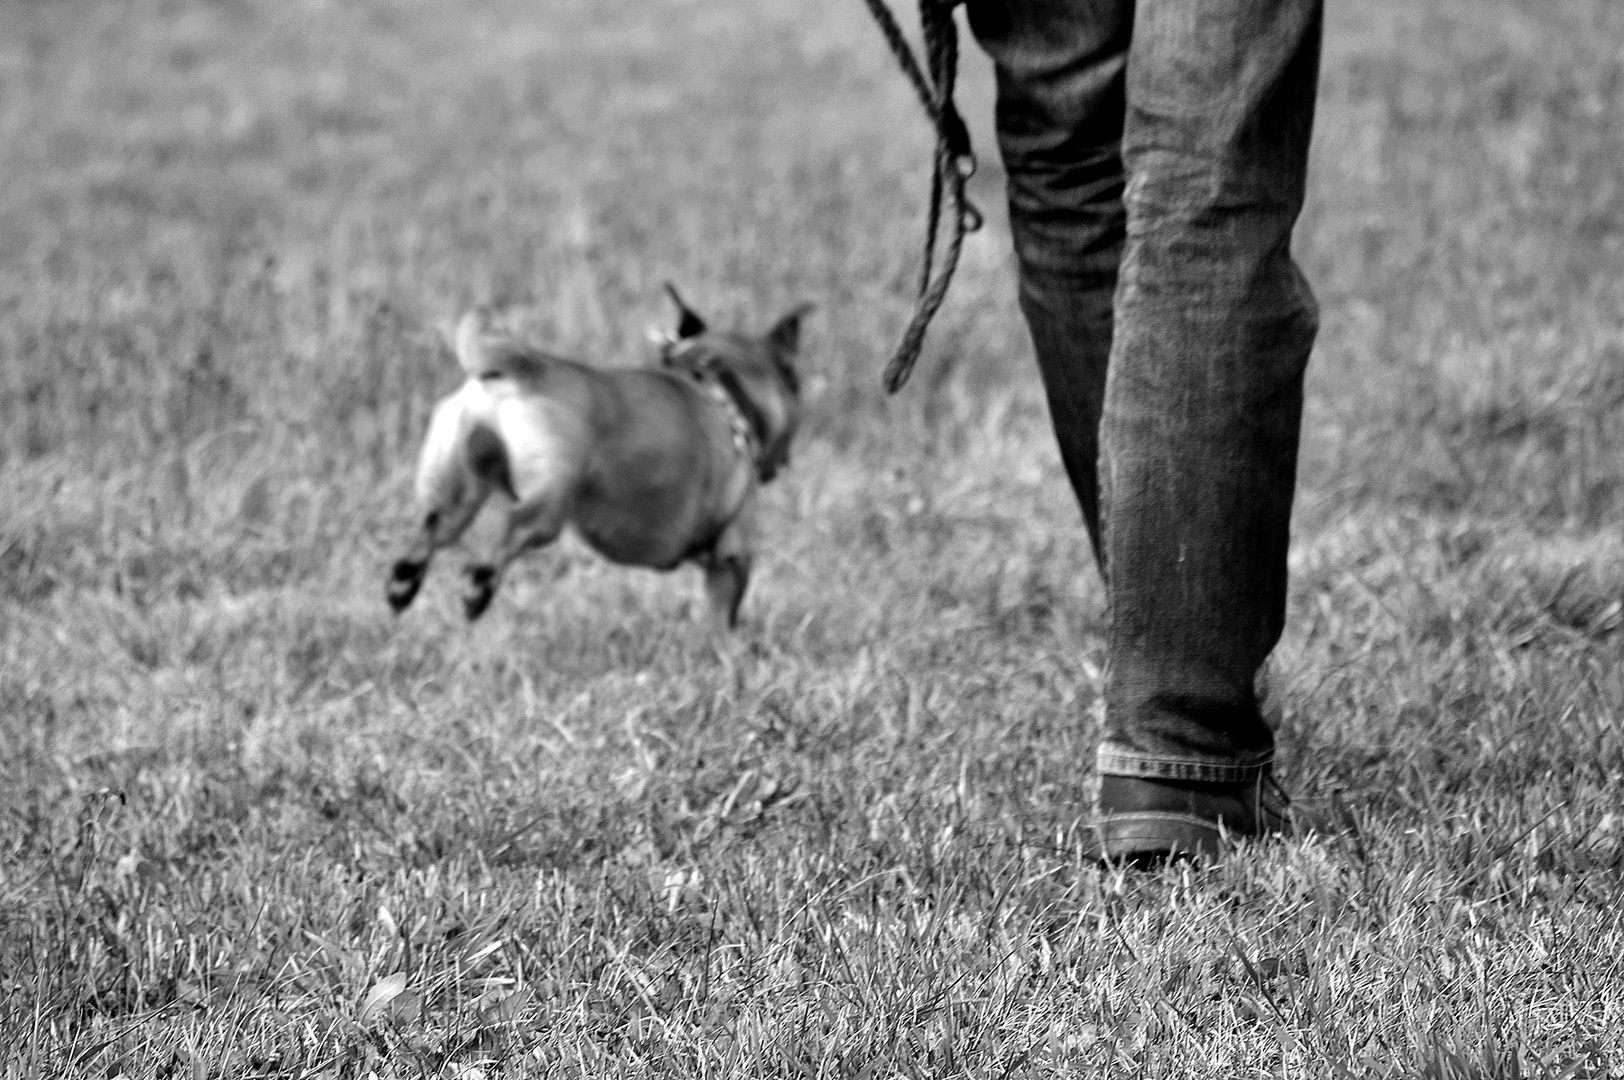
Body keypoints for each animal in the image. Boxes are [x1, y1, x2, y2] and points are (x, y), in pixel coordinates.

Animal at [381, 285, 812, 626]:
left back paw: (404, 583)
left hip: (457, 484)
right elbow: (720, 620)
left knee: (435, 528)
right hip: (550, 499)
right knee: (513, 530)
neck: (723, 390)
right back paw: (478, 588)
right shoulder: (732, 556)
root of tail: (517, 367)